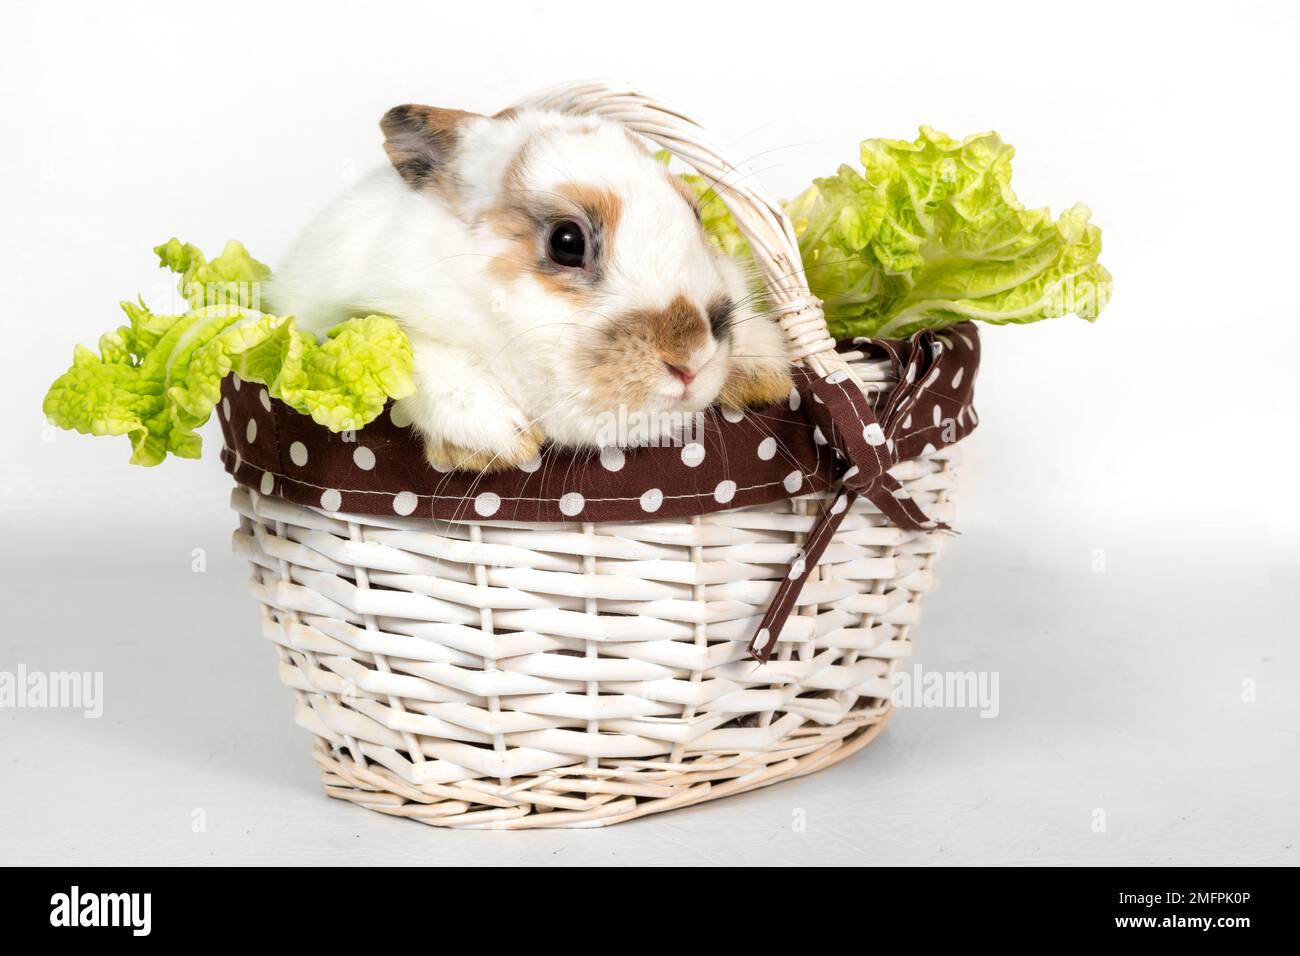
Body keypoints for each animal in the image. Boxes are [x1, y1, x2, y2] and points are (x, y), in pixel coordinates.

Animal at [266, 103, 793, 472]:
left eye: (696, 213)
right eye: (567, 242)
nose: (692, 358)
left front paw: (763, 375)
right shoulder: (351, 317)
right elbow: (418, 348)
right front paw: (499, 441)